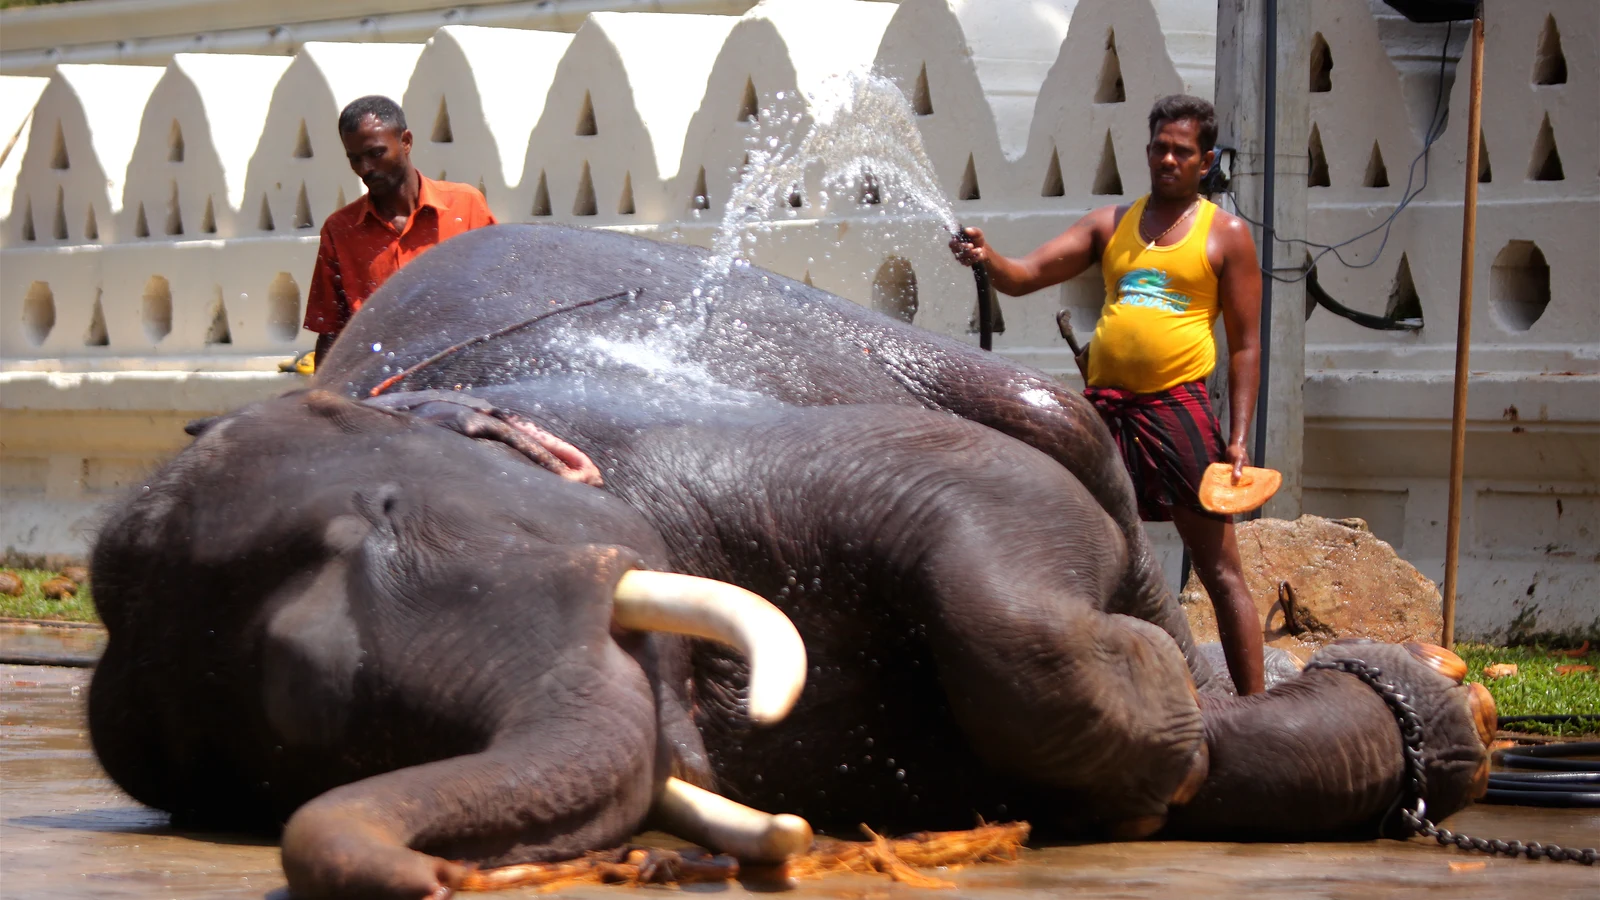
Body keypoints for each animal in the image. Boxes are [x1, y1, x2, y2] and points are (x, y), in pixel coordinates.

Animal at [88, 225, 1494, 900]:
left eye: (381, 512)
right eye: (299, 739)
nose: (437, 877)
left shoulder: (682, 442)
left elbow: (986, 503)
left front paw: (1174, 738)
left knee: (1047, 426)